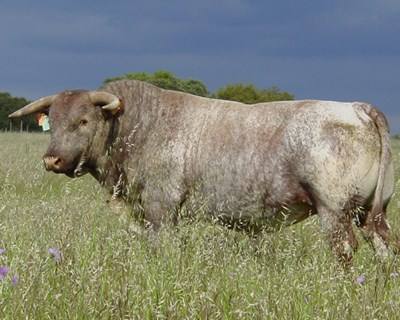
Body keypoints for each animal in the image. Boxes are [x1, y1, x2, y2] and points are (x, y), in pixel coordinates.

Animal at [9, 79, 396, 262]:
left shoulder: (161, 209)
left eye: (84, 120)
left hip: (334, 210)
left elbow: (162, 249)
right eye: (53, 121)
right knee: (384, 247)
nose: (51, 160)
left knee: (345, 250)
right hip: (371, 212)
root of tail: (358, 108)